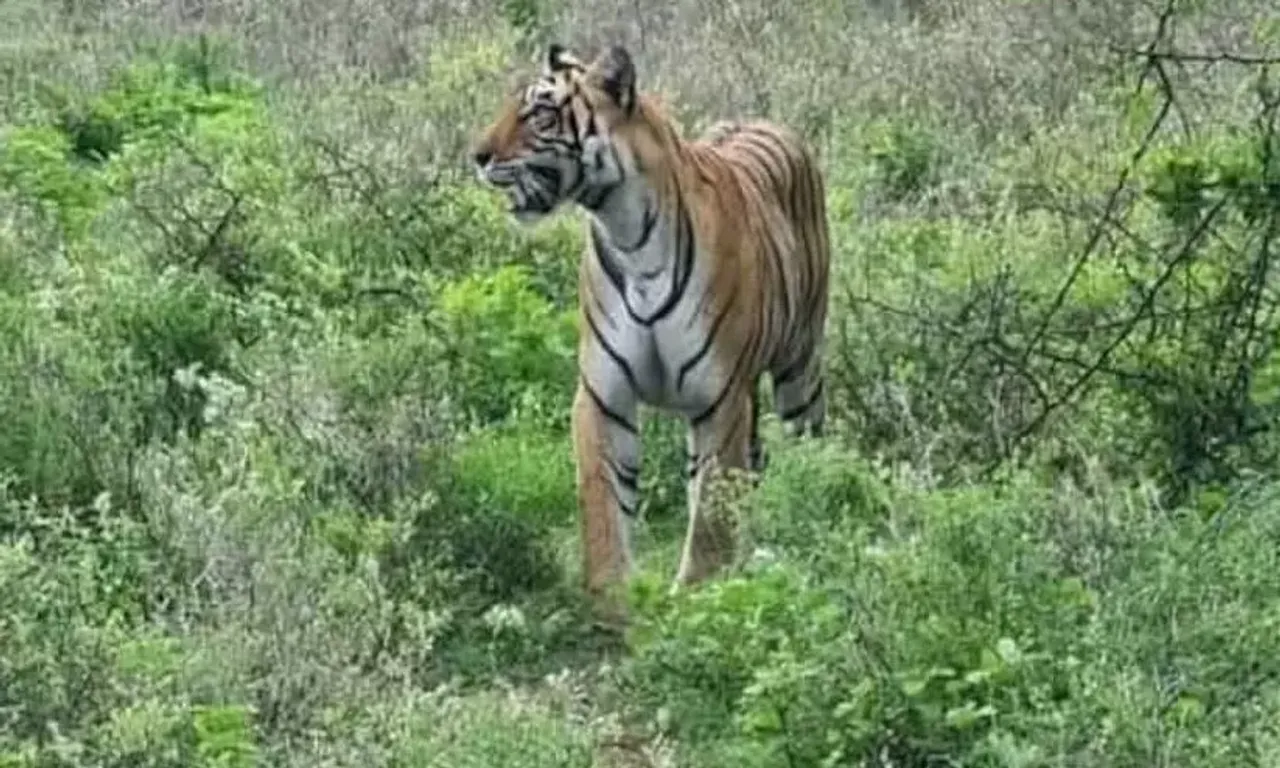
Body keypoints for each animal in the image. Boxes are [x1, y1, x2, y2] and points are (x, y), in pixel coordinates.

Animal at [471, 43, 831, 624]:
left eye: (541, 113)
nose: (476, 157)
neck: (627, 233)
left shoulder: (720, 399)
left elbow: (708, 518)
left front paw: (699, 598)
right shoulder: (603, 395)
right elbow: (603, 502)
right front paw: (611, 600)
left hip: (799, 368)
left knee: (803, 452)